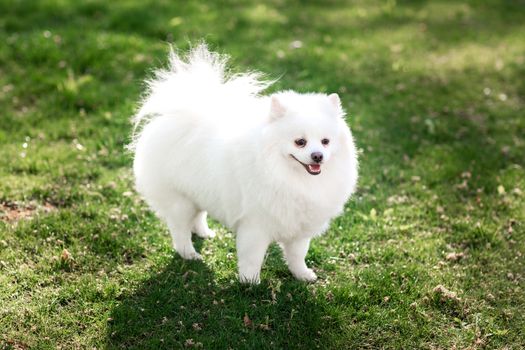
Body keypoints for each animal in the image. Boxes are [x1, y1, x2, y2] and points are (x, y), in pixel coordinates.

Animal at [131, 44, 358, 284]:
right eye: (300, 142)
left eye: (325, 141)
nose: (317, 156)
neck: (288, 175)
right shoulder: (255, 226)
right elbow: (252, 258)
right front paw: (250, 283)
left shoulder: (298, 228)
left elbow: (297, 255)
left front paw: (302, 275)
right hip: (179, 201)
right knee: (179, 231)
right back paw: (189, 253)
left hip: (199, 192)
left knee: (198, 215)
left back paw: (204, 233)